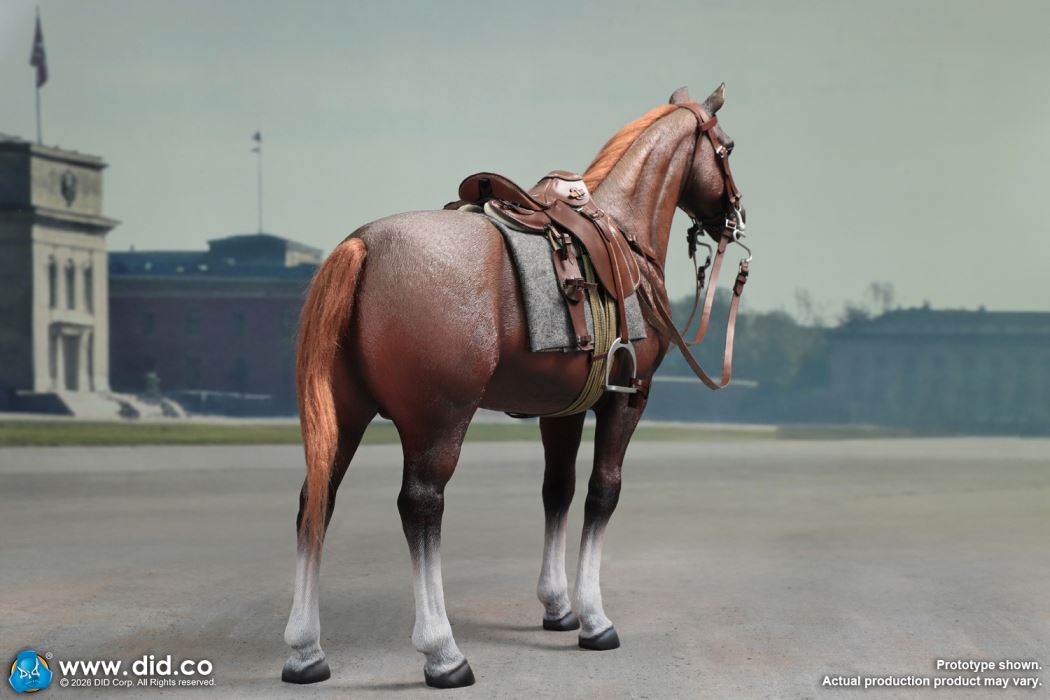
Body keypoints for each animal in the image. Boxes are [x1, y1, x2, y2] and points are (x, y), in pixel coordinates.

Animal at [281, 84, 746, 689]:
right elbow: (602, 493)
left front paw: (558, 606)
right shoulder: (627, 401)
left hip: (347, 414)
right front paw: (594, 619)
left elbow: (557, 492)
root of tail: (363, 246)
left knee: (317, 501)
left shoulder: (562, 411)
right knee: (420, 507)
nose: (735, 217)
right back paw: (442, 653)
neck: (623, 231)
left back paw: (304, 651)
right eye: (727, 148)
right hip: (439, 422)